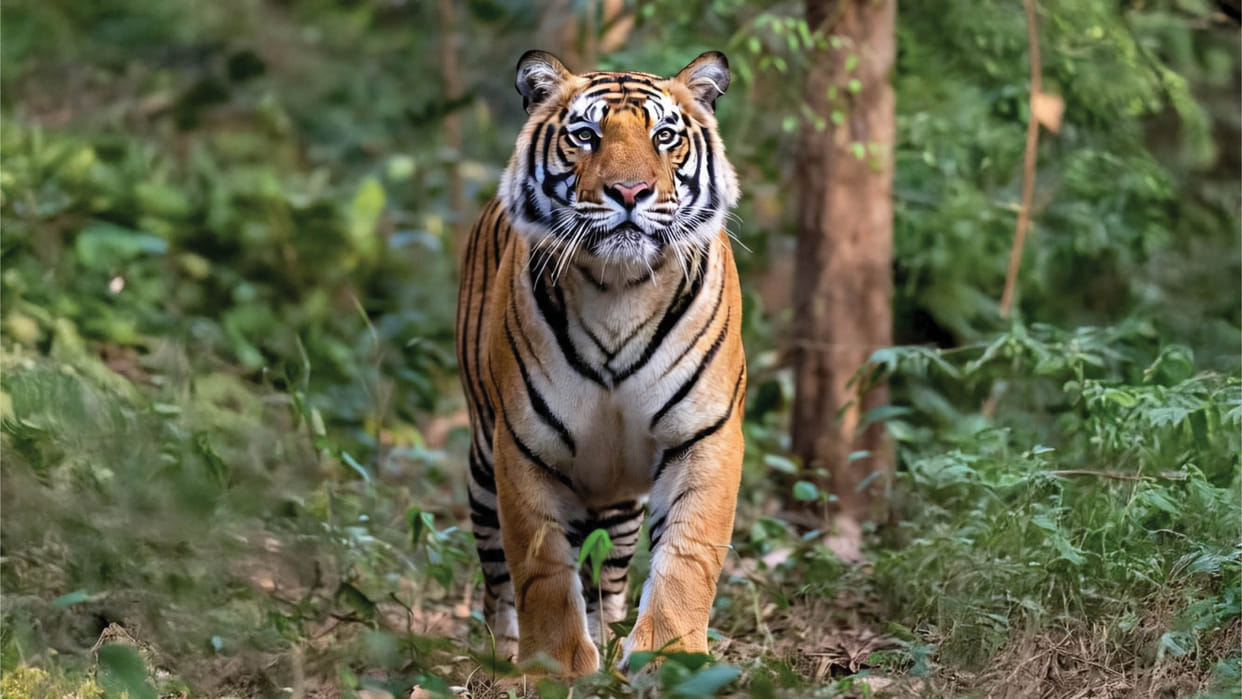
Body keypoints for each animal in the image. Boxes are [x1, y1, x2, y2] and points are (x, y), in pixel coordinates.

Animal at [455, 49, 745, 677]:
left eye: (665, 137)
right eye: (585, 135)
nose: (630, 191)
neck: (621, 287)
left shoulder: (705, 434)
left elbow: (688, 555)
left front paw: (672, 657)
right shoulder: (525, 446)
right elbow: (541, 569)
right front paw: (554, 668)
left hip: (617, 500)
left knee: (606, 577)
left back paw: (610, 638)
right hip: (483, 466)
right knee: (498, 581)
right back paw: (502, 654)